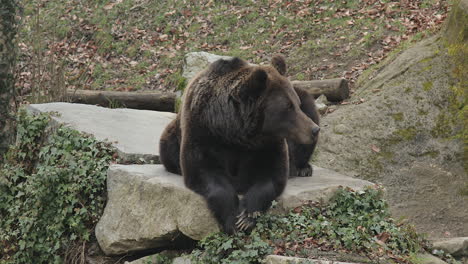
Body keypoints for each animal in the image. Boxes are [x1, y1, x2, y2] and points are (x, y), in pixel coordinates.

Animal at [159, 55, 320, 233]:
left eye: (296, 104)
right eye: (288, 106)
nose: (314, 130)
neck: (235, 131)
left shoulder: (267, 144)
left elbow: (272, 176)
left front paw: (246, 217)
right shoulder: (202, 132)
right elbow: (203, 172)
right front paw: (232, 219)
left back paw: (303, 168)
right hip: (170, 140)